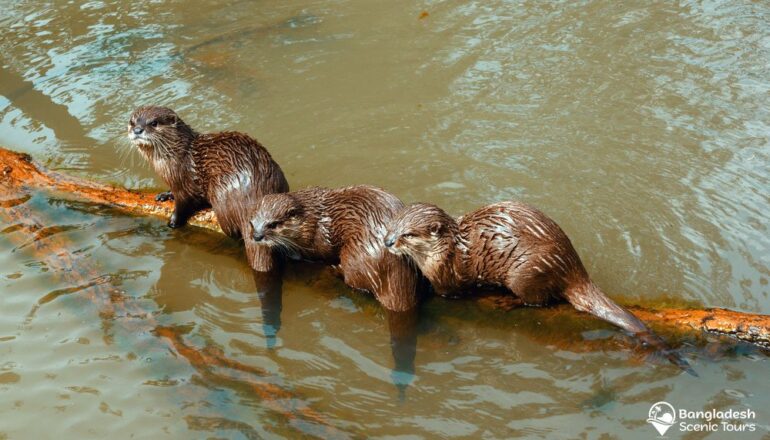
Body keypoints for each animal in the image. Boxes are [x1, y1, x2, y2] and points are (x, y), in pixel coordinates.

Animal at [126, 106, 288, 272]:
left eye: (154, 123)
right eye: (132, 122)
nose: (137, 130)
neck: (175, 157)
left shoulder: (183, 184)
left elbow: (184, 204)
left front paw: (173, 222)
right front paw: (164, 195)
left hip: (220, 193)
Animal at [249, 187, 424, 312]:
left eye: (273, 224)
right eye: (251, 222)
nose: (256, 236)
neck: (313, 220)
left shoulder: (319, 240)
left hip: (354, 255)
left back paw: (335, 269)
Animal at [384, 203, 688, 372]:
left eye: (407, 234)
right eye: (391, 225)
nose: (387, 241)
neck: (449, 250)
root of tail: (570, 264)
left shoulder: (449, 277)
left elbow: (450, 292)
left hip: (526, 272)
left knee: (539, 300)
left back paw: (508, 302)